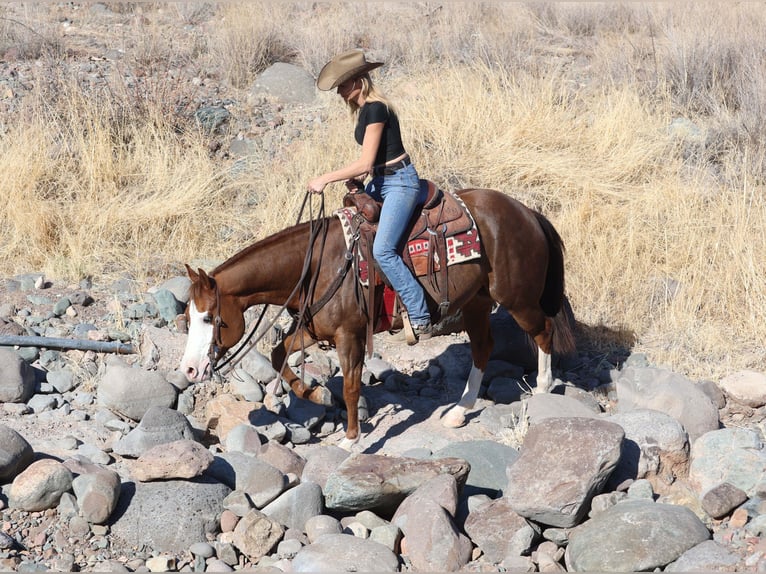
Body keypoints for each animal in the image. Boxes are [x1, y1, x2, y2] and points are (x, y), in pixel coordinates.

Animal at [180, 189, 576, 450]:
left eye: (211, 318)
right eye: (187, 316)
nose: (189, 370)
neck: (317, 265)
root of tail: (528, 212)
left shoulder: (349, 335)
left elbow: (352, 387)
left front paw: (351, 440)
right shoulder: (314, 328)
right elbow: (279, 354)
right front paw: (315, 393)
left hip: (517, 298)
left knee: (542, 332)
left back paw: (542, 390)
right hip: (478, 303)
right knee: (483, 347)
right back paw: (459, 412)